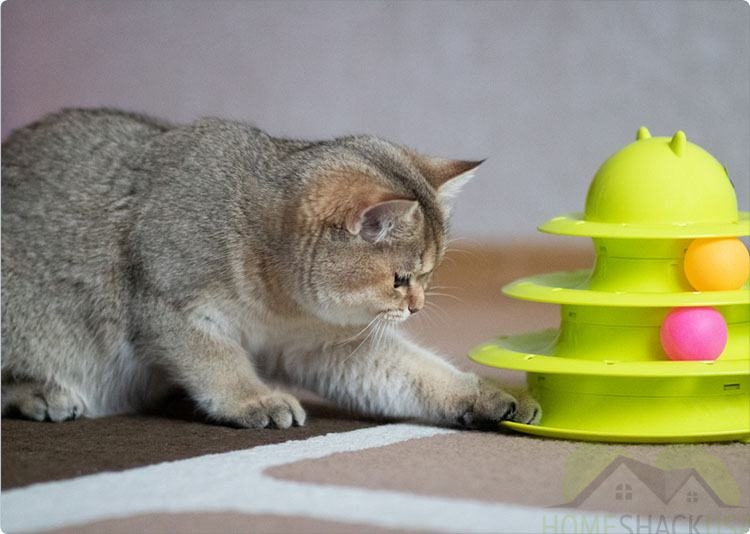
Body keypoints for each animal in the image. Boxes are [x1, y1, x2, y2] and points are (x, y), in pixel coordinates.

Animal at [1, 110, 540, 432]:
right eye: (400, 280)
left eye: (427, 276)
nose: (417, 307)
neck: (279, 300)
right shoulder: (167, 305)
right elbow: (219, 363)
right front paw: (252, 400)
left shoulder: (326, 345)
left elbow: (415, 372)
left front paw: (487, 395)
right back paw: (41, 391)